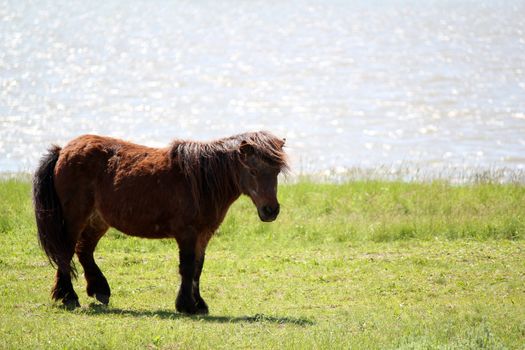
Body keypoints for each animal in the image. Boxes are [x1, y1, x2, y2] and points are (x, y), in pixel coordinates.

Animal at [32, 131, 286, 314]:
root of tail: (63, 150)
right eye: (252, 170)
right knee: (65, 252)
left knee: (84, 251)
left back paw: (100, 291)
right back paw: (69, 297)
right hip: (74, 218)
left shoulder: (203, 235)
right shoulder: (187, 234)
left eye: (276, 171)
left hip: (97, 221)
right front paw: (186, 306)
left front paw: (199, 304)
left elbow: (198, 268)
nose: (271, 210)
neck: (201, 181)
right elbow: (188, 267)